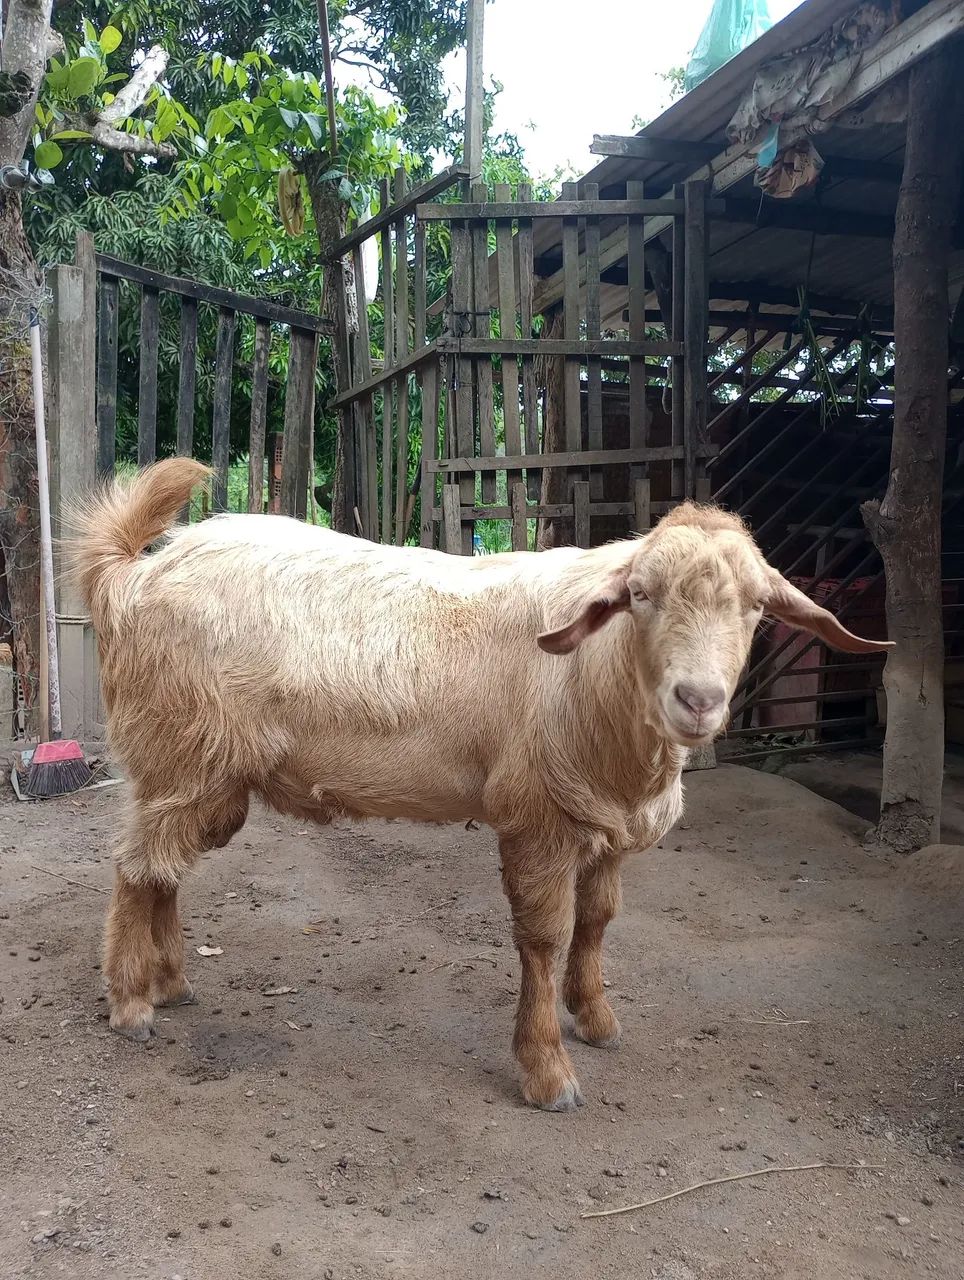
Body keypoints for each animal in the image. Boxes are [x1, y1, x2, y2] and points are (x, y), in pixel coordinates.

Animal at [70, 459, 891, 1110]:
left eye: (755, 607)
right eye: (641, 595)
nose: (698, 699)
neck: (600, 678)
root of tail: (130, 576)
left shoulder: (609, 825)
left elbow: (598, 921)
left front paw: (596, 1018)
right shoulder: (537, 816)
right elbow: (546, 937)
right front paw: (547, 1072)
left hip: (207, 772)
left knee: (163, 867)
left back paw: (170, 982)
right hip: (179, 749)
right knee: (134, 867)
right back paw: (131, 1003)